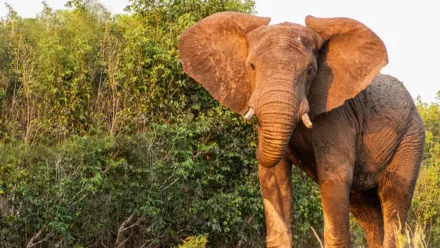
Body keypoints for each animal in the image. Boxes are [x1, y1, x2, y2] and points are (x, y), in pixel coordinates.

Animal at [177, 10, 424, 247]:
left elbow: (334, 176)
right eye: (252, 66)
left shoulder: (339, 116)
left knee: (394, 203)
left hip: (410, 140)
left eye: (310, 70)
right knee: (367, 212)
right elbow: (274, 179)